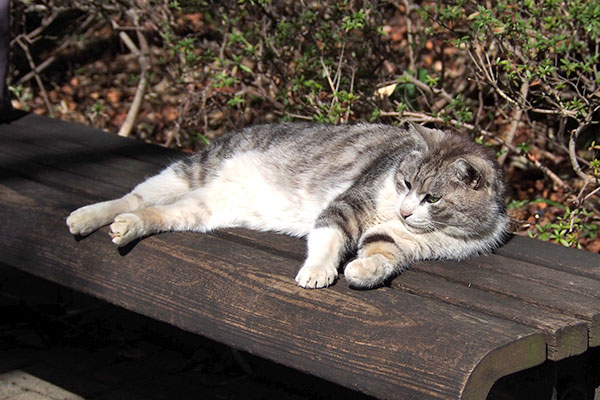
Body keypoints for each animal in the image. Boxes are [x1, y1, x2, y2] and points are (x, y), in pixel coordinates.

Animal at [64, 122, 506, 288]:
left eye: (432, 198)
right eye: (407, 182)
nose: (405, 210)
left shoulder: (398, 240)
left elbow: (382, 255)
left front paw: (362, 271)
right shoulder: (349, 203)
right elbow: (328, 237)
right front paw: (318, 271)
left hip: (202, 209)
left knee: (154, 214)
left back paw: (127, 227)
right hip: (191, 169)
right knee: (134, 196)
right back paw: (87, 217)